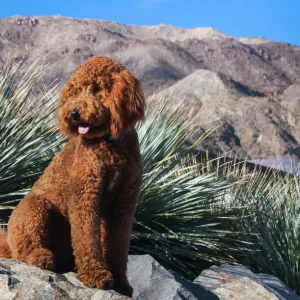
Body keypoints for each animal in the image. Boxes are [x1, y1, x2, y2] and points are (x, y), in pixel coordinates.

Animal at [0, 56, 145, 298]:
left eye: (97, 89)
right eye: (76, 90)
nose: (74, 113)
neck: (109, 146)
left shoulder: (124, 204)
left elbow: (118, 246)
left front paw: (121, 284)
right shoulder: (85, 196)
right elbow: (86, 238)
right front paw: (95, 275)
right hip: (34, 207)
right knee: (24, 251)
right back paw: (41, 257)